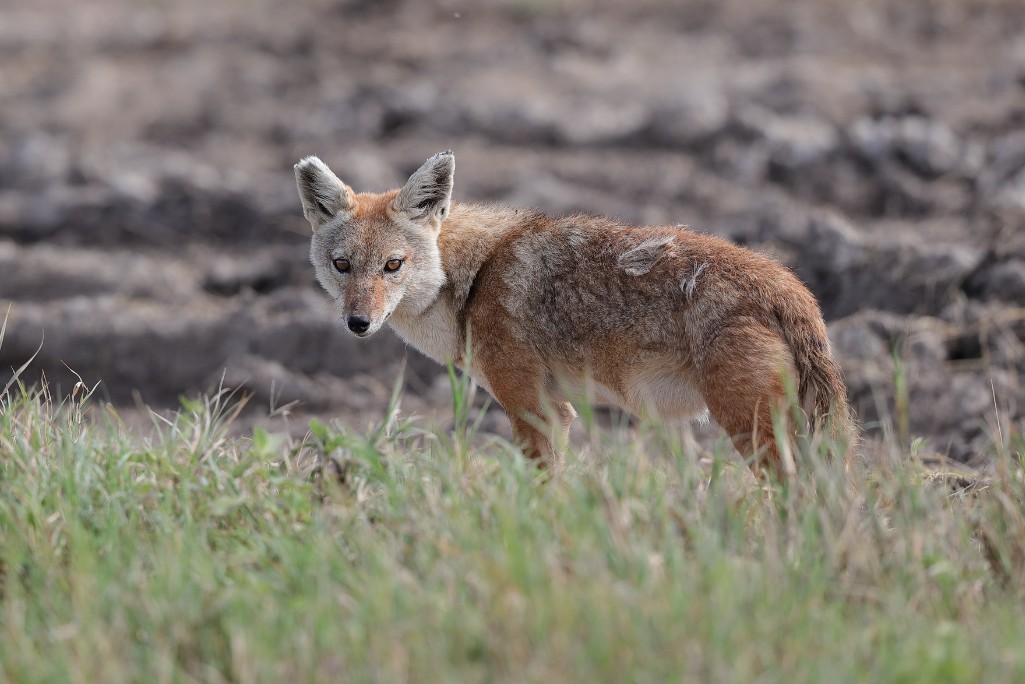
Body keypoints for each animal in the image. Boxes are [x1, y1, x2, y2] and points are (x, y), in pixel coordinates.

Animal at [294, 150, 856, 476]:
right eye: (342, 265)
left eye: (393, 265)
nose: (359, 324)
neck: (473, 279)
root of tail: (792, 288)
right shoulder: (557, 410)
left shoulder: (533, 409)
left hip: (752, 433)